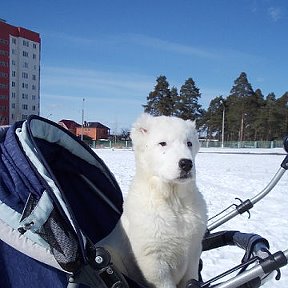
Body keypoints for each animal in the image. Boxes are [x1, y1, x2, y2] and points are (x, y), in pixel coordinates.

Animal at [99, 114, 207, 288]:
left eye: (189, 143)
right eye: (162, 143)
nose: (186, 163)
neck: (173, 200)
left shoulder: (194, 248)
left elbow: (191, 277)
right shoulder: (153, 259)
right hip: (111, 252)